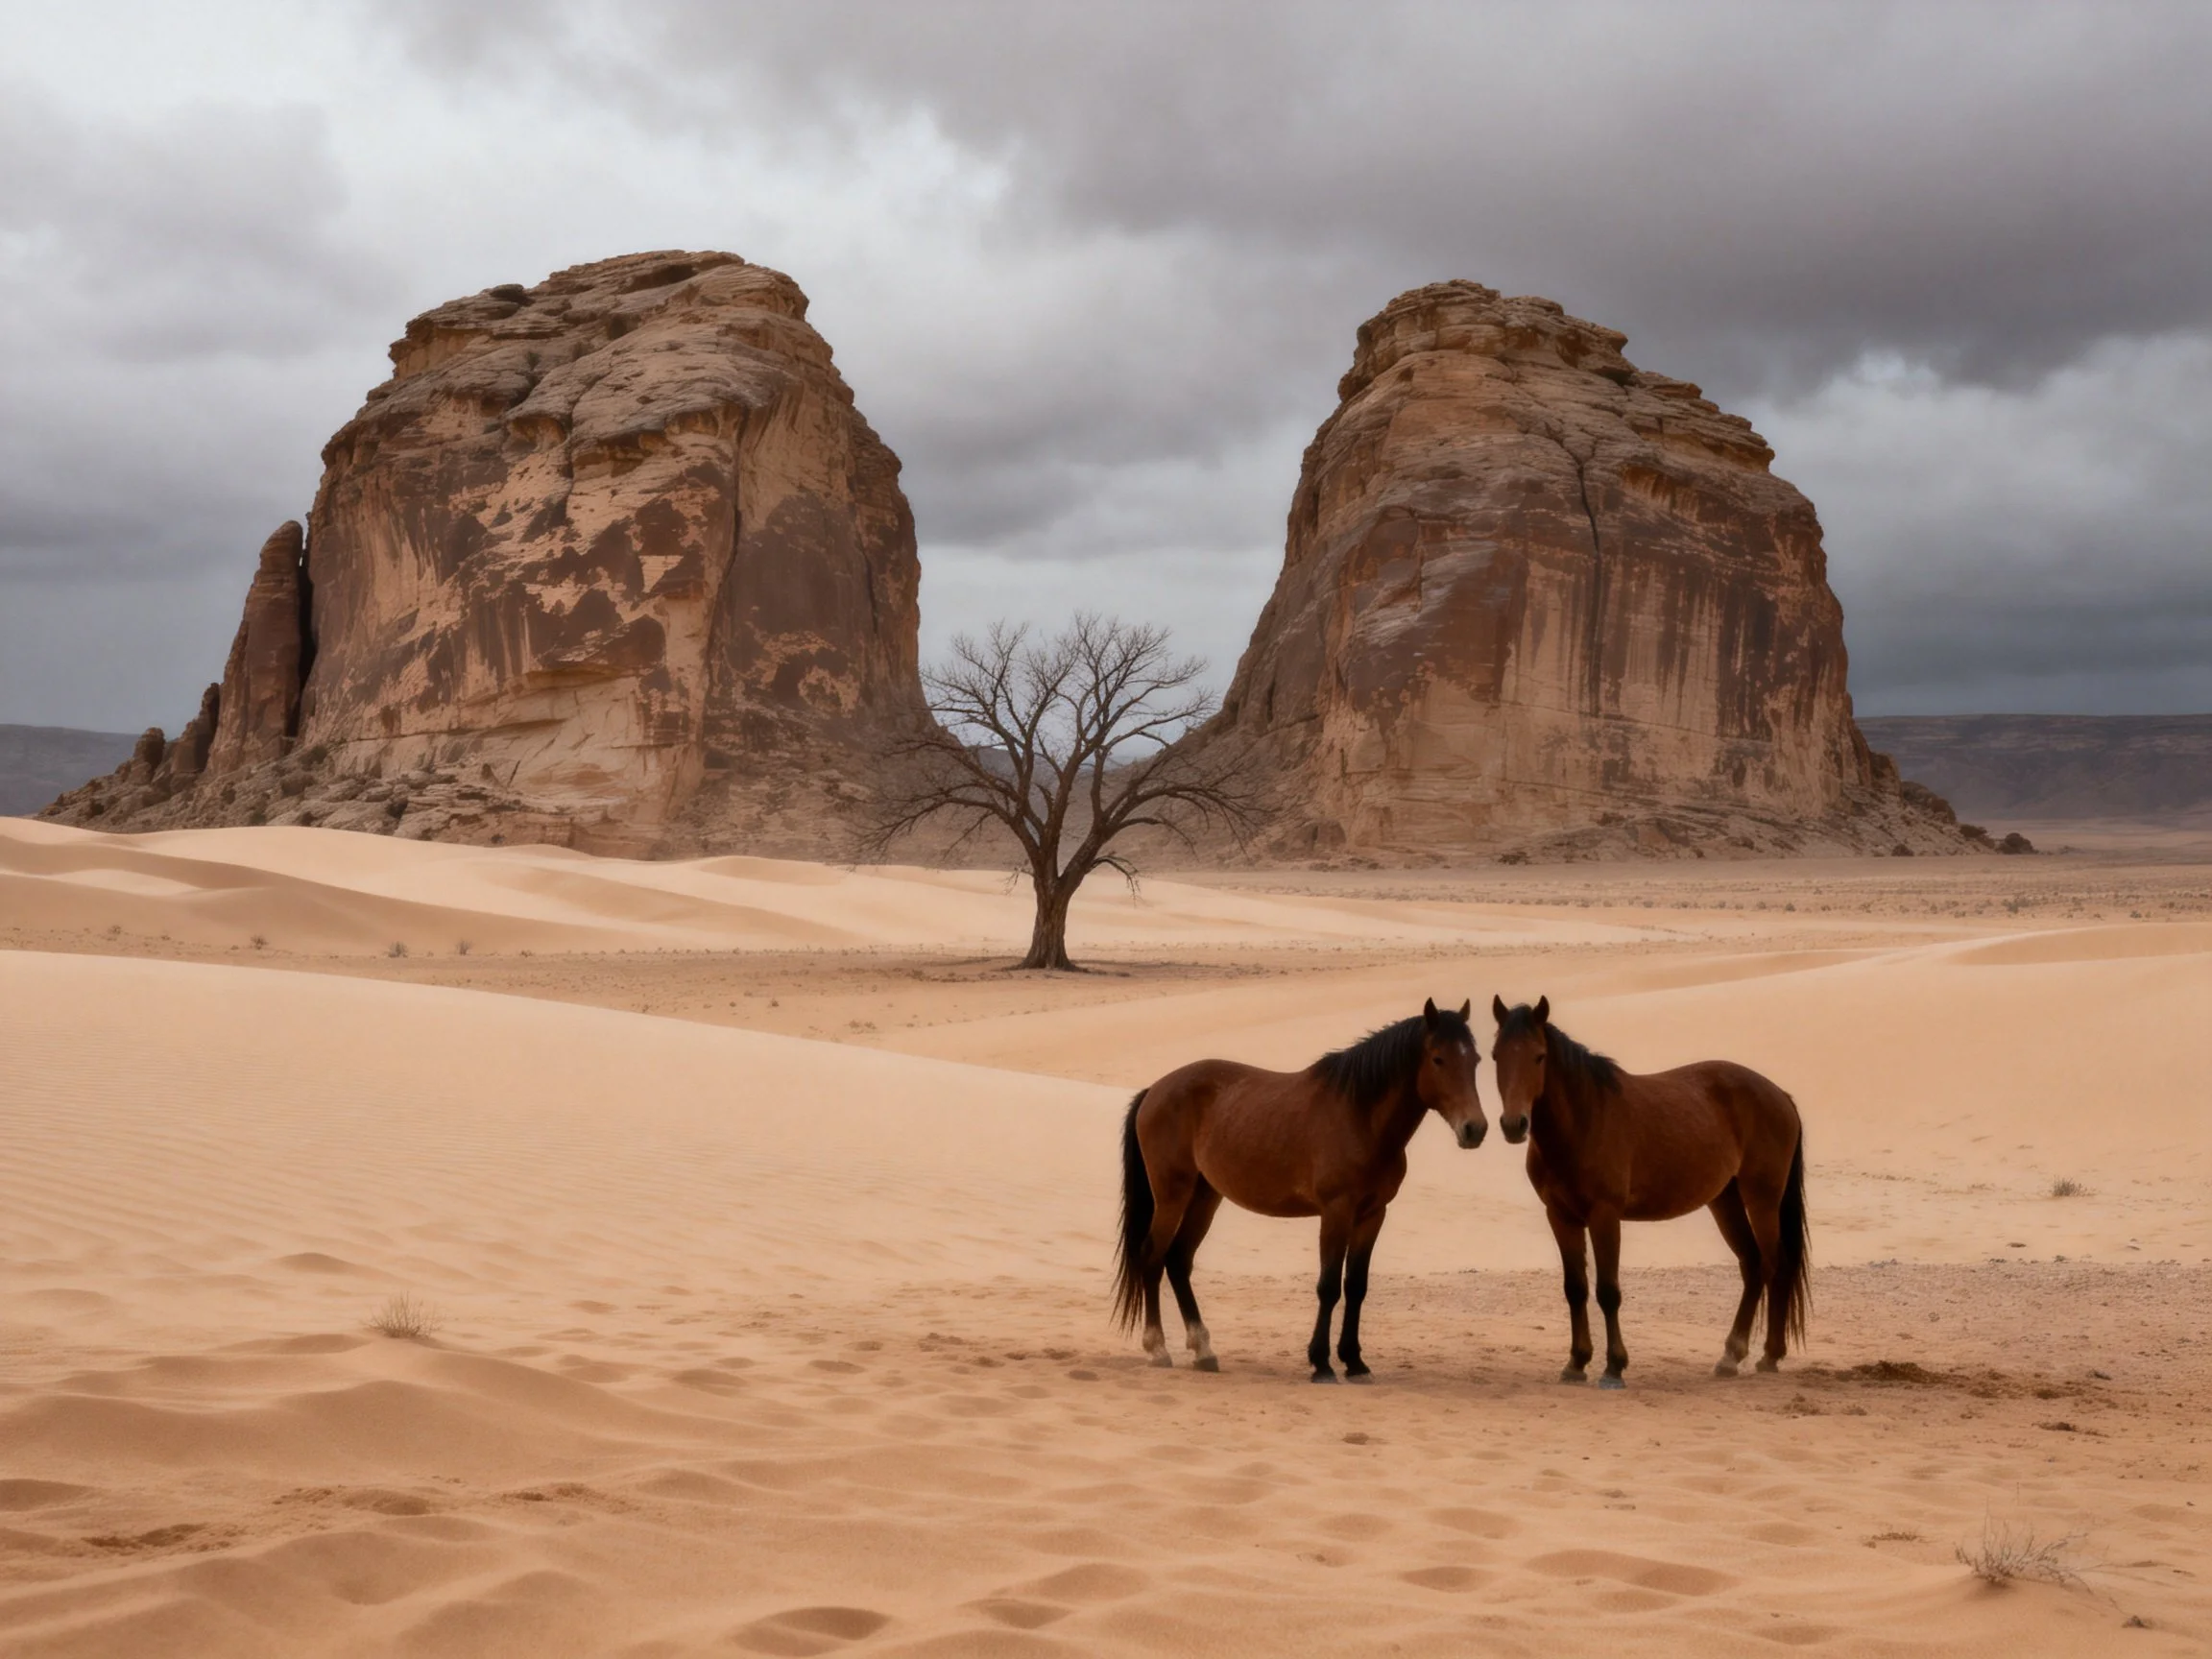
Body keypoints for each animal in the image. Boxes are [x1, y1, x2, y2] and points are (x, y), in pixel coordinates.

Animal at [1113, 999, 1486, 1383]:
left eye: (1475, 1059)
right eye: (1438, 1059)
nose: (1475, 1129)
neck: (1359, 1117)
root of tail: (1154, 1090)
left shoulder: (1372, 1214)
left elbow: (1356, 1286)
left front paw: (1354, 1361)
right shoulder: (1336, 1212)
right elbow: (1329, 1286)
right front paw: (1321, 1363)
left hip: (1205, 1197)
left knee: (1178, 1260)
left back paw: (1203, 1350)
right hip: (1172, 1196)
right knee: (1152, 1257)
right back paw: (1158, 1348)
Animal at [1489, 996, 1810, 1388]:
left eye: (1539, 1056)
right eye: (1495, 1056)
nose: (1514, 1125)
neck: (1583, 1121)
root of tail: (1780, 1095)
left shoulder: (1605, 1215)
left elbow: (1608, 1291)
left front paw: (1614, 1368)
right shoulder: (1561, 1216)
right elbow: (1575, 1288)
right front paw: (1576, 1363)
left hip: (1762, 1199)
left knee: (1773, 1265)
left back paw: (1765, 1355)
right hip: (1726, 1201)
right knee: (1752, 1265)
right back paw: (1733, 1356)